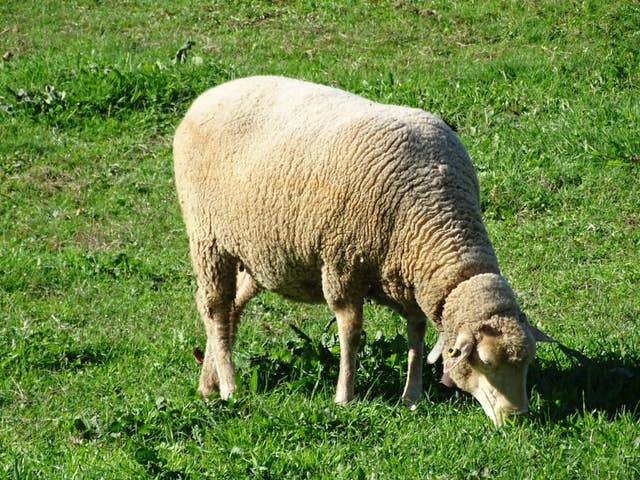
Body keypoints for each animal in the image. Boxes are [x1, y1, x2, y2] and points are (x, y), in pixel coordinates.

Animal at [173, 75, 547, 426]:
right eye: (486, 362)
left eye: (528, 362)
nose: (517, 417)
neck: (433, 215)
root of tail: (209, 95)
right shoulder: (342, 266)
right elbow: (351, 335)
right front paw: (345, 397)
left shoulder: (406, 279)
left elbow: (416, 333)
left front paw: (412, 396)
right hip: (207, 237)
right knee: (215, 309)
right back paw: (229, 387)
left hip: (256, 254)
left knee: (231, 309)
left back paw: (208, 384)